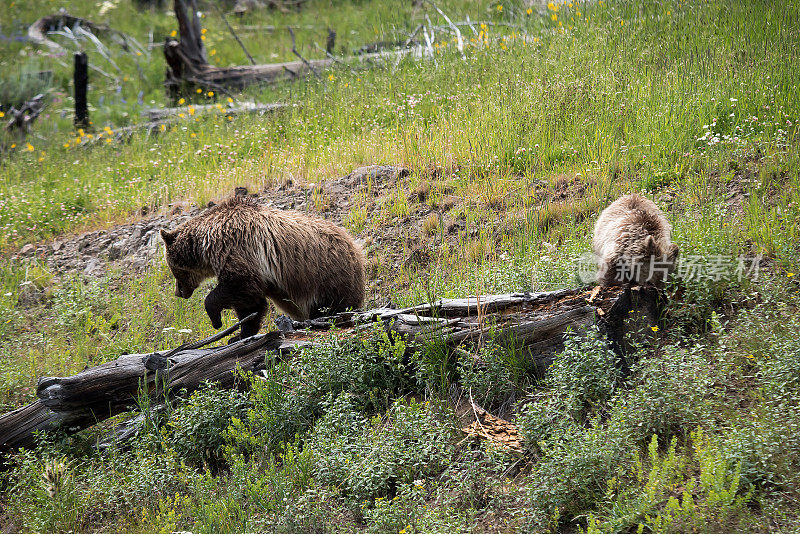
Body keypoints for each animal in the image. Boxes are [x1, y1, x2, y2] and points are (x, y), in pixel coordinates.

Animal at [161, 196, 368, 340]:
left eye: (173, 269)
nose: (178, 292)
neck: (207, 244)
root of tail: (356, 249)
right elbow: (251, 304)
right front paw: (240, 334)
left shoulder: (236, 247)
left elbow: (240, 285)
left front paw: (216, 320)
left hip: (324, 274)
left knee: (328, 306)